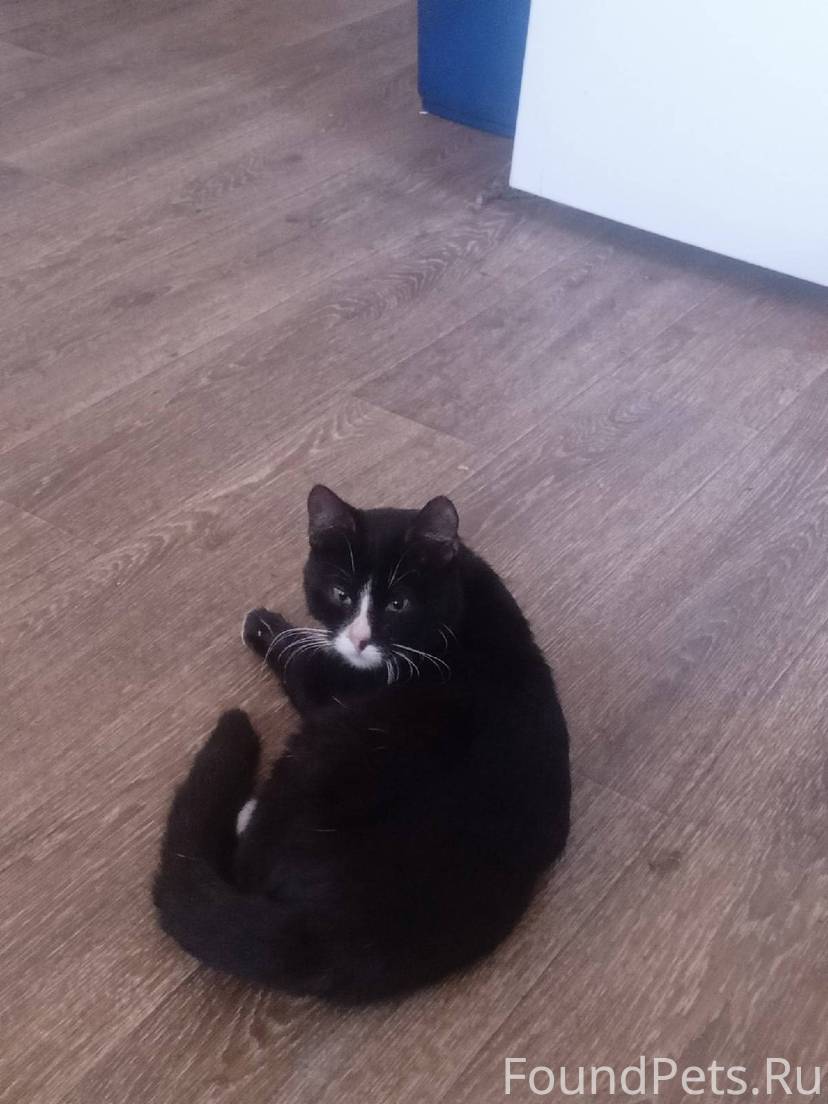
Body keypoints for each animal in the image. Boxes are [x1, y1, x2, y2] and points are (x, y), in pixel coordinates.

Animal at [153, 485, 571, 1003]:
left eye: (398, 604)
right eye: (341, 594)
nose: (359, 639)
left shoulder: (340, 687)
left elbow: (302, 663)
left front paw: (265, 625)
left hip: (329, 748)